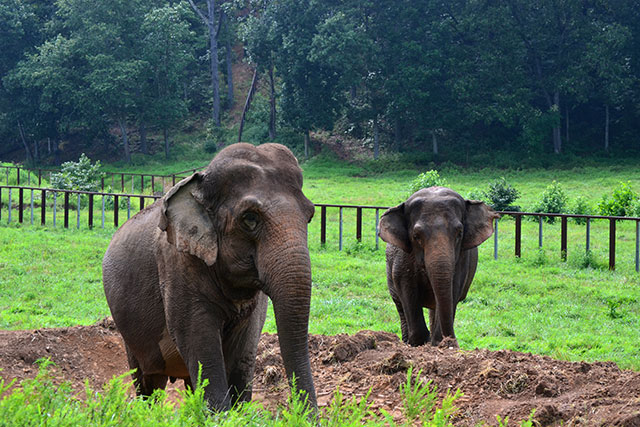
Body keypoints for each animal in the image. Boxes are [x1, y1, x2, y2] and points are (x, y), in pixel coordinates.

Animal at [102, 144, 318, 412]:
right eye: (250, 218)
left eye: (310, 216)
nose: (303, 415)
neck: (200, 185)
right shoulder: (177, 263)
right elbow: (197, 337)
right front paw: (220, 415)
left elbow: (243, 348)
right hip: (128, 332)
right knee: (148, 382)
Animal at [378, 189, 498, 350]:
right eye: (416, 236)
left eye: (459, 233)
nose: (452, 343)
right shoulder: (402, 257)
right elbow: (407, 290)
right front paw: (419, 344)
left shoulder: (462, 259)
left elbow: (453, 290)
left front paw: (437, 343)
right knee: (400, 306)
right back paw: (406, 342)